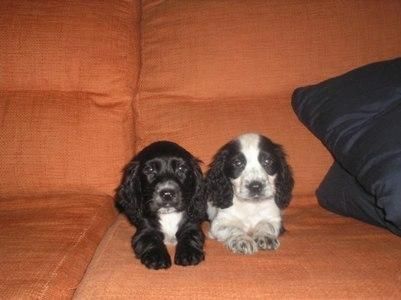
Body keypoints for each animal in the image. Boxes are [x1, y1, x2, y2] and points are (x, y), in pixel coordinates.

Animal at [115, 141, 203, 270]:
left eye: (181, 168)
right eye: (149, 169)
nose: (167, 194)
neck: (168, 214)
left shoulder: (191, 224)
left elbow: (191, 236)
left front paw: (189, 253)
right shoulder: (145, 229)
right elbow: (151, 239)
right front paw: (157, 257)